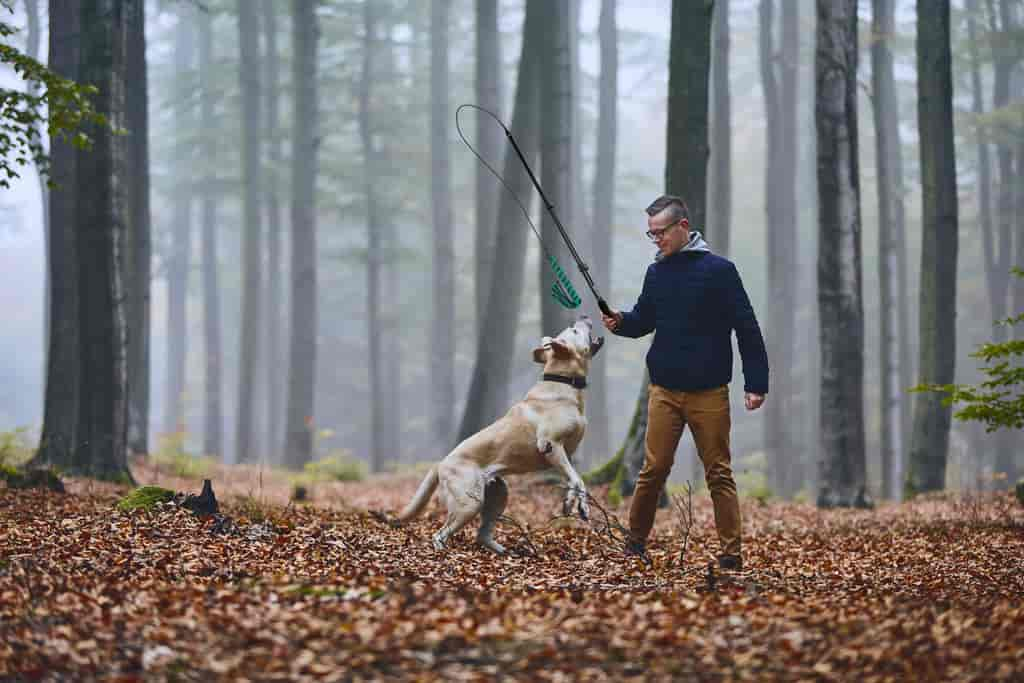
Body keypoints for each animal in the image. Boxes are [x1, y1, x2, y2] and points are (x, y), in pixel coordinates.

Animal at [395, 317, 602, 552]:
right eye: (574, 330)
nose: (584, 316)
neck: (563, 383)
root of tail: (441, 463)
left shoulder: (565, 454)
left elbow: (576, 480)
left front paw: (576, 504)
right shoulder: (551, 446)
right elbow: (577, 480)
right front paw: (575, 504)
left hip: (499, 494)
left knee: (482, 534)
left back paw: (508, 553)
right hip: (469, 502)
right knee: (440, 534)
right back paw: (444, 552)